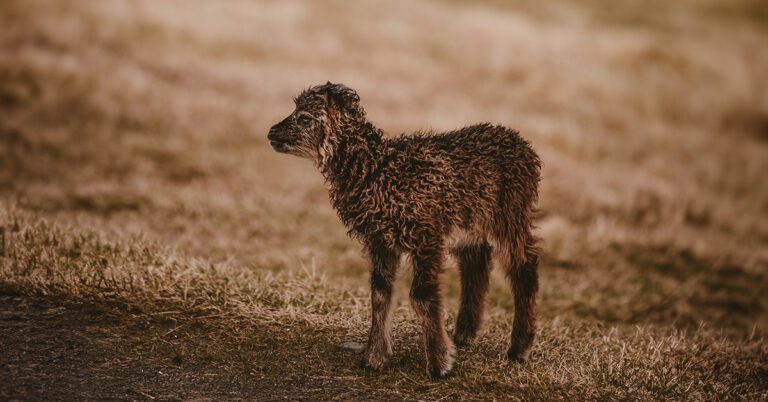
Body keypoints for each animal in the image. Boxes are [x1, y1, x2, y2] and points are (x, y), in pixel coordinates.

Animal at [268, 82, 544, 380]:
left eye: (305, 118)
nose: (272, 133)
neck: (378, 171)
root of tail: (520, 142)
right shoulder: (380, 240)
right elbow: (380, 293)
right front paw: (374, 357)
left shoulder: (425, 235)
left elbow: (420, 296)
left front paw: (439, 364)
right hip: (470, 223)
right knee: (476, 262)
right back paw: (464, 335)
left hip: (511, 214)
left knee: (523, 265)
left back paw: (518, 349)